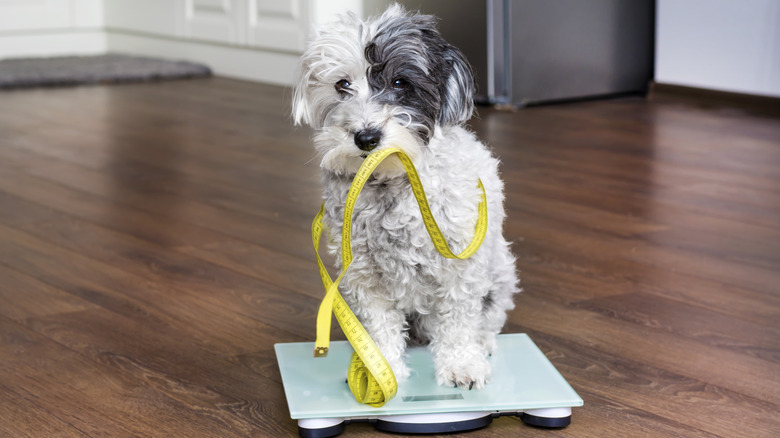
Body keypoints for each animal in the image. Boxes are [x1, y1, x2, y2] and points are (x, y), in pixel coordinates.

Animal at [292, 4, 516, 390]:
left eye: (400, 82)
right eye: (342, 85)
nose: (366, 137)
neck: (391, 183)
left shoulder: (460, 268)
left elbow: (459, 322)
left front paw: (461, 364)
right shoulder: (363, 274)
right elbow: (379, 330)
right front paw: (379, 371)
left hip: (501, 273)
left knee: (488, 318)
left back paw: (483, 343)